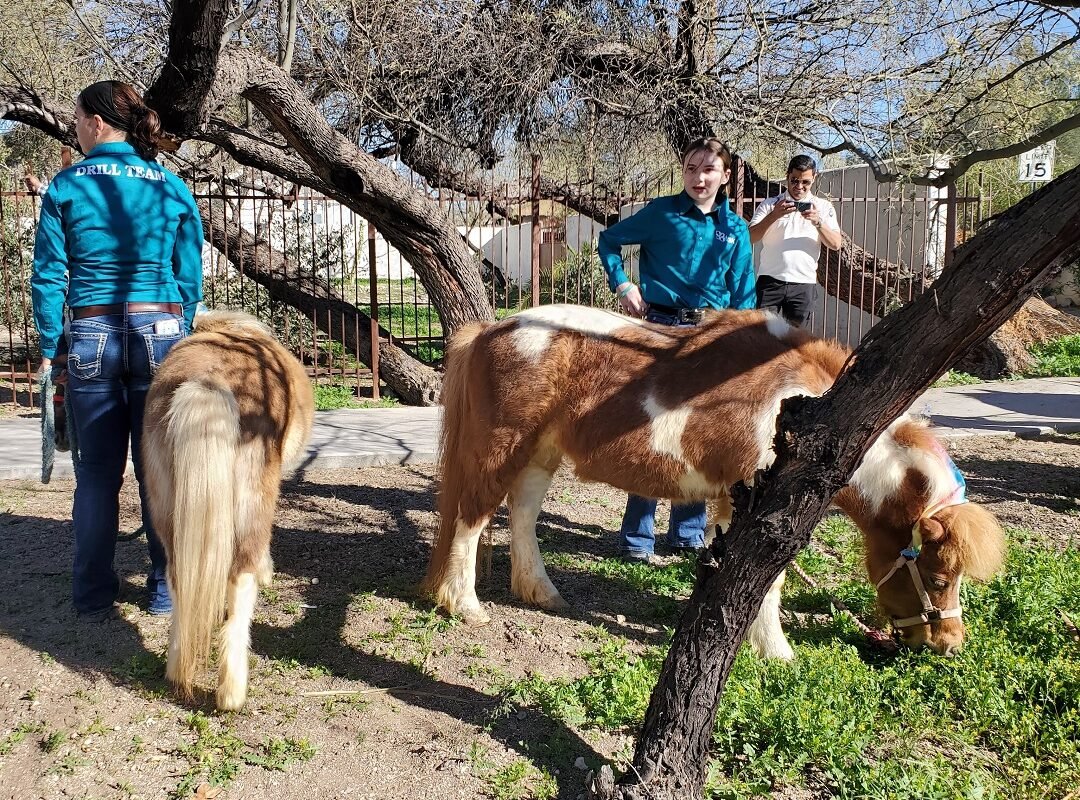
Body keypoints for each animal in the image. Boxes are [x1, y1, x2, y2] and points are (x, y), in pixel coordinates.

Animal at [142, 310, 314, 710]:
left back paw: (176, 670)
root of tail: (207, 381)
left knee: (179, 577)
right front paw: (269, 571)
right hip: (252, 500)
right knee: (241, 577)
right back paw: (232, 692)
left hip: (168, 511)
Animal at [424, 304, 1005, 657]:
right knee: (472, 517)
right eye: (937, 576)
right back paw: (465, 606)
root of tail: (492, 330)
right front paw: (777, 652)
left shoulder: (729, 504)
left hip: (540, 455)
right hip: (501, 449)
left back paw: (542, 593)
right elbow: (770, 583)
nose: (950, 643)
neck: (805, 407)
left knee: (521, 515)